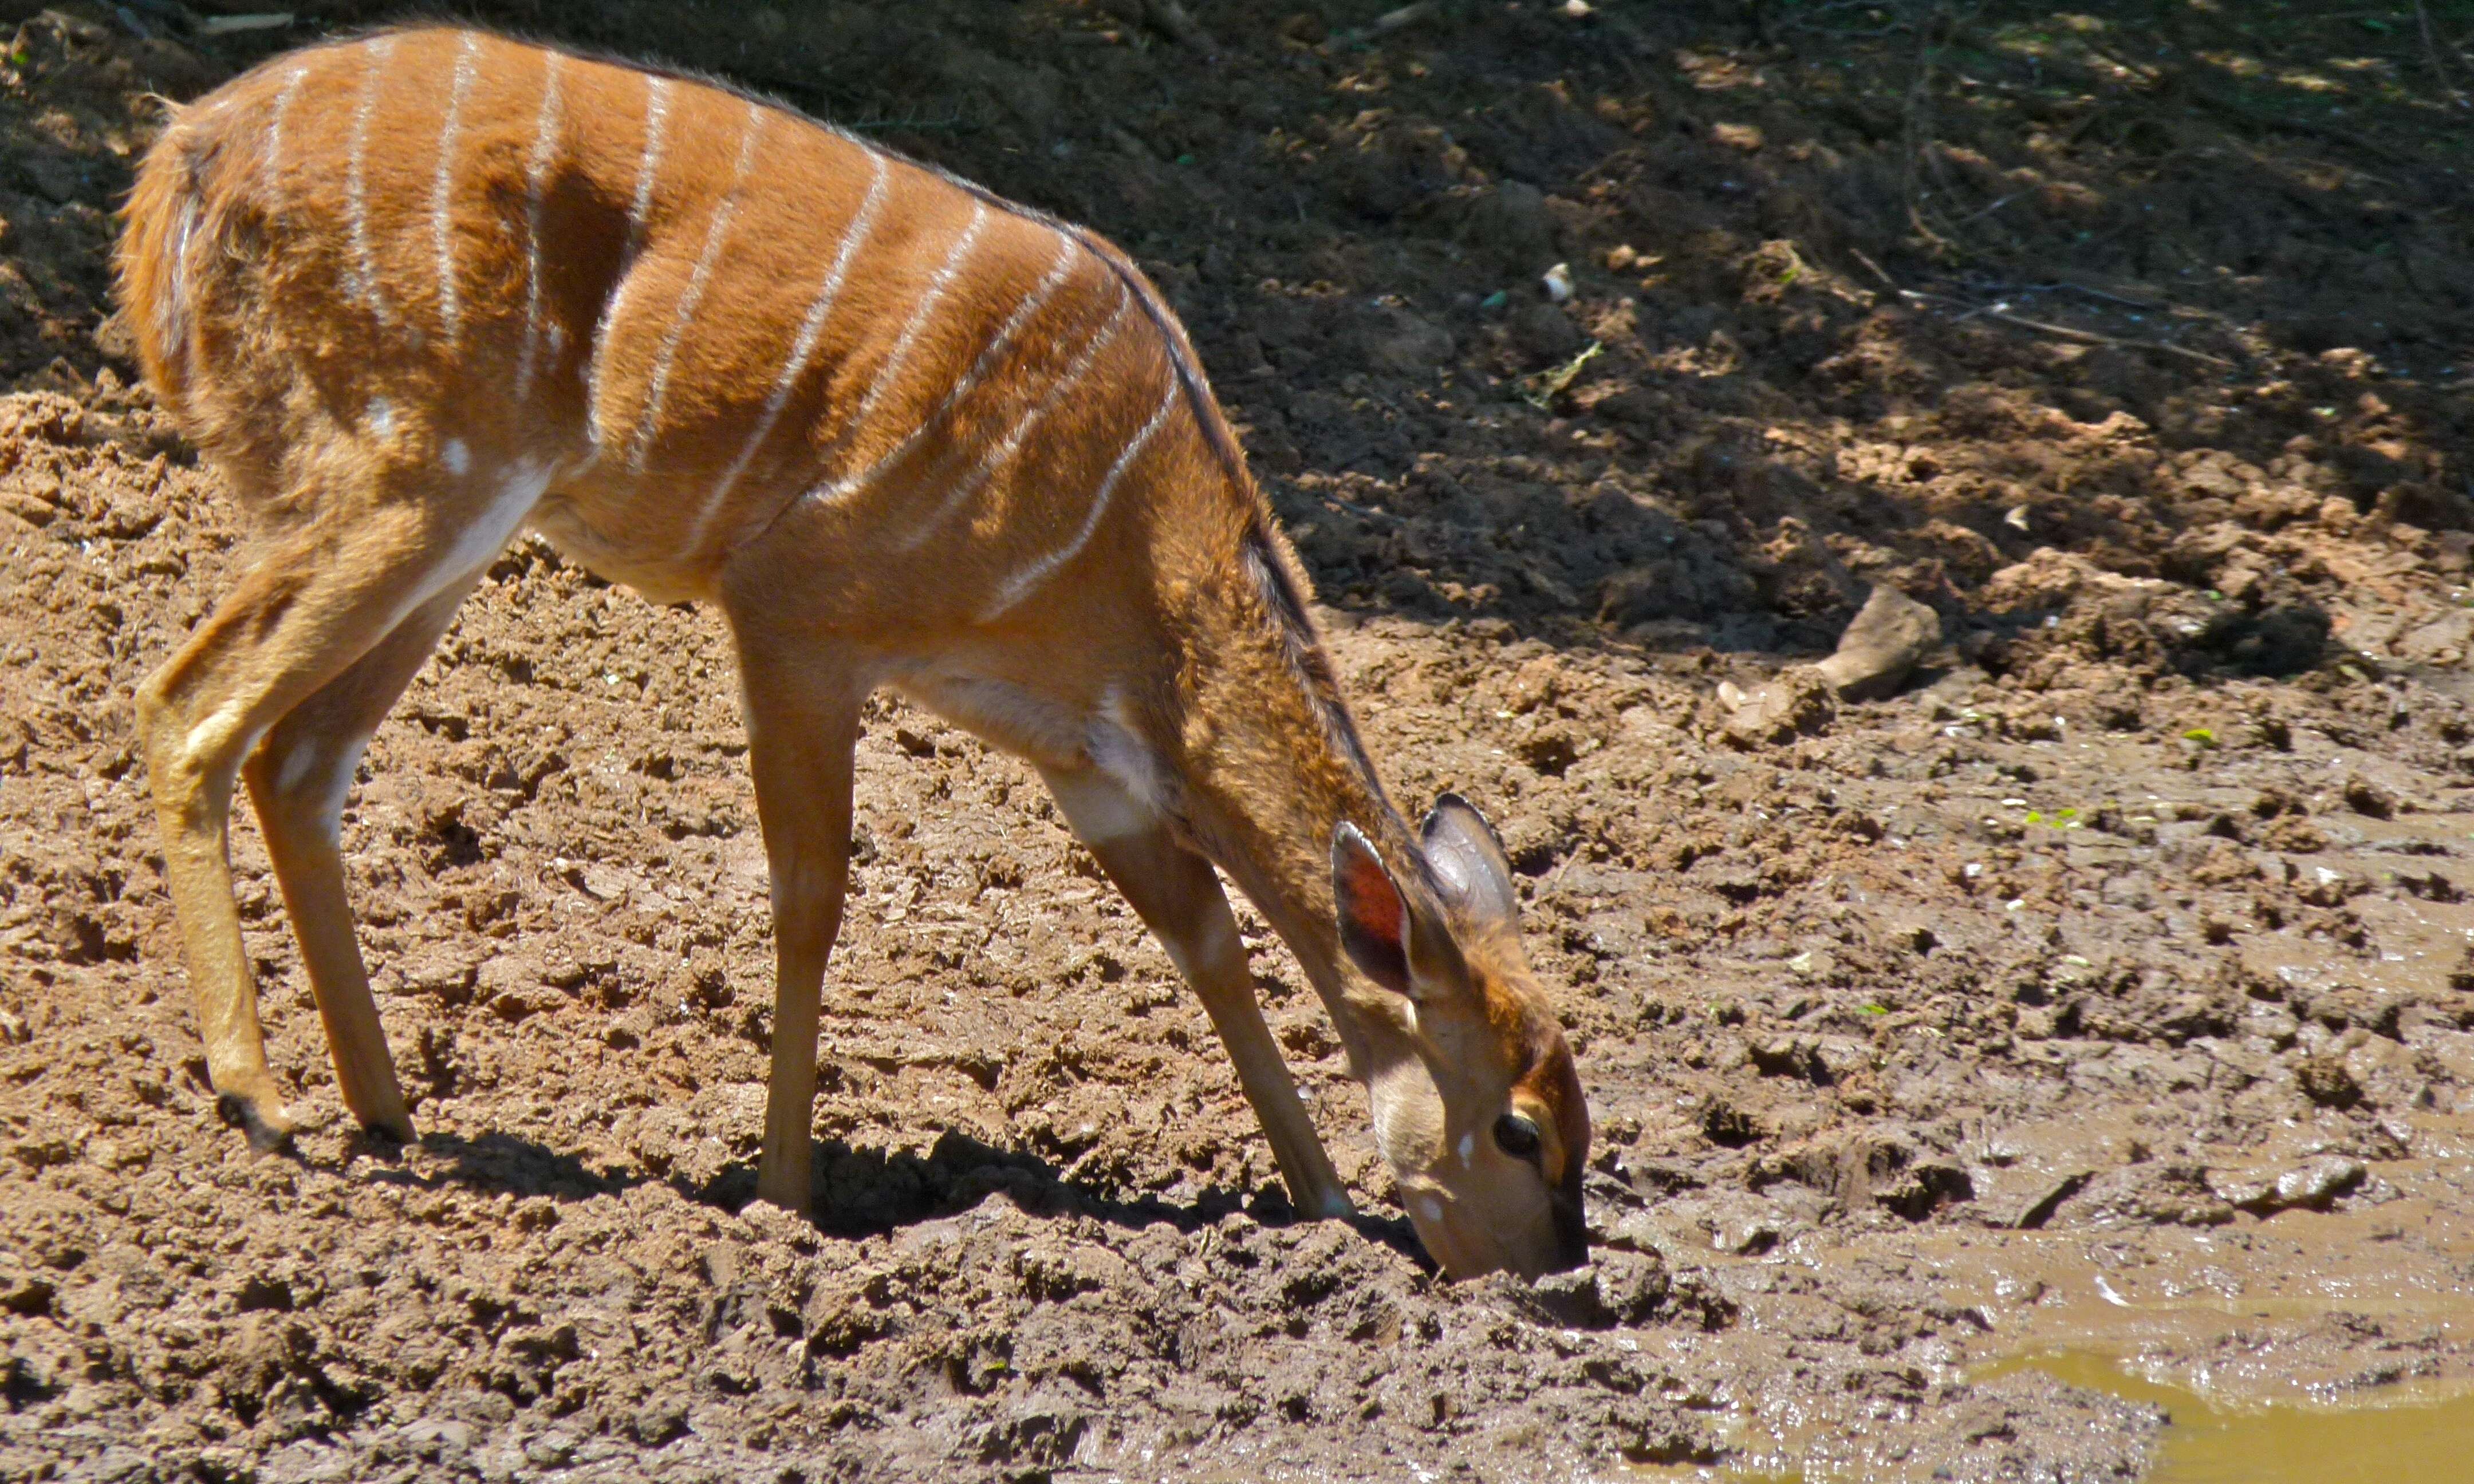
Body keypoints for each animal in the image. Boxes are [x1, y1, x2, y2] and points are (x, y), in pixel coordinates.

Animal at [116, 23, 1593, 1276]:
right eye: (1518, 1130)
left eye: (1582, 1117)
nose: (1558, 1279)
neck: (1137, 537)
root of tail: (184, 158)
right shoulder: (796, 615)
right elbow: (812, 894)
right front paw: (788, 1196)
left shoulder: (1087, 756)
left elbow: (1203, 936)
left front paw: (1327, 1203)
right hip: (410, 470)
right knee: (188, 705)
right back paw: (259, 1099)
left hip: (456, 519)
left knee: (301, 759)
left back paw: (387, 1109)